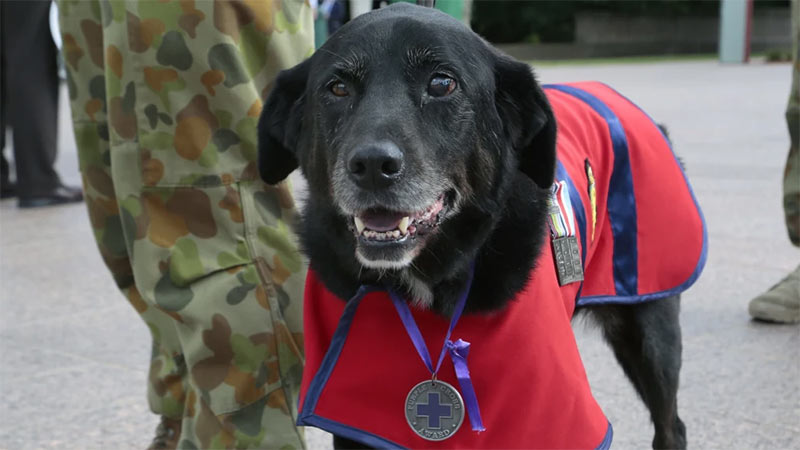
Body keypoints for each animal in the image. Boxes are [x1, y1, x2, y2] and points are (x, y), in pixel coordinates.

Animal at [260, 4, 704, 450]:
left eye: (442, 83)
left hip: (651, 334)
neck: (429, 280)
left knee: (672, 425)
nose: (371, 165)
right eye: (337, 88)